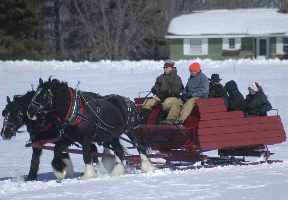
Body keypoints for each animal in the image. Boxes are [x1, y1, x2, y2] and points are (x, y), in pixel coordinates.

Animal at [27, 78, 155, 180]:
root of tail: (128, 101)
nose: (30, 112)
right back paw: (116, 172)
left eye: (43, 97)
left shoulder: (86, 139)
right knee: (119, 151)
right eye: (34, 95)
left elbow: (86, 155)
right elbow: (57, 149)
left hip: (132, 129)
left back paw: (148, 168)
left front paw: (88, 175)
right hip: (113, 134)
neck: (74, 110)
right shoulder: (70, 138)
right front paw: (59, 171)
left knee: (140, 147)